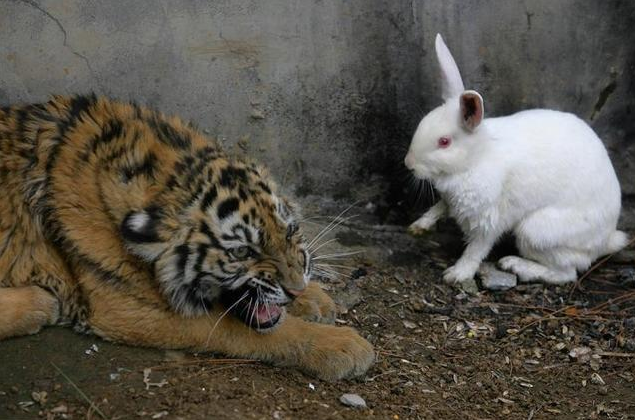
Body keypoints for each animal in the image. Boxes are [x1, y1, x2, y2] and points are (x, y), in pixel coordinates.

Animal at [404, 34, 628, 286]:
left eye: (444, 142)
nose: (408, 163)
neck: (476, 159)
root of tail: (606, 238)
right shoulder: (449, 200)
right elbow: (438, 207)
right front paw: (418, 227)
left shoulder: (488, 219)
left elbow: (476, 250)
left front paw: (457, 274)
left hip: (536, 232)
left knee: (566, 273)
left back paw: (515, 265)